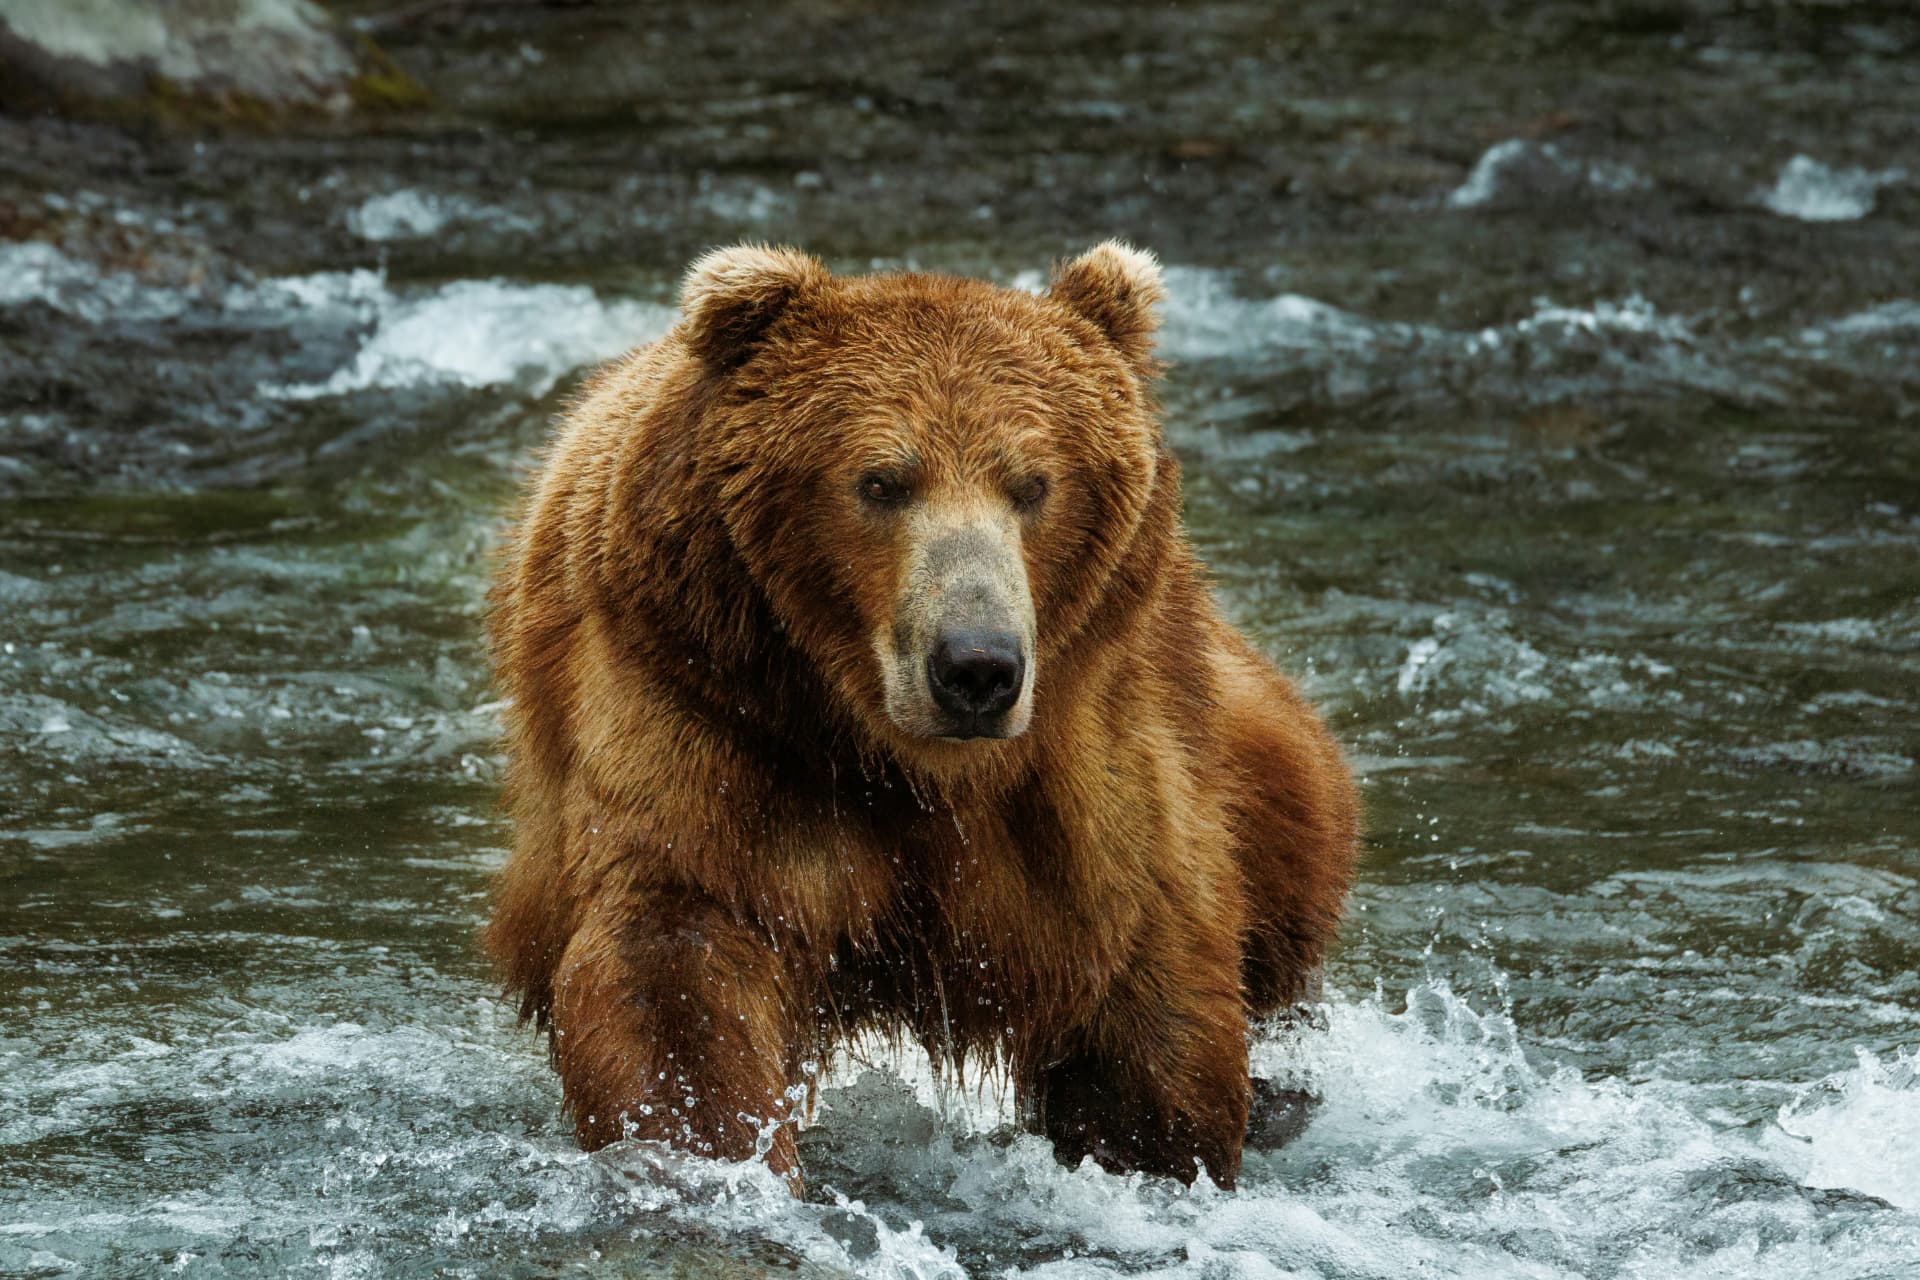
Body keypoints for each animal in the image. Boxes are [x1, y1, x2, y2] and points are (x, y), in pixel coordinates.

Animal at [483, 241, 1359, 1192]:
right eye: (882, 481)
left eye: (1034, 483)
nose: (977, 667)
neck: (893, 753)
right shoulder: (705, 709)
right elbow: (679, 959)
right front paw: (708, 1154)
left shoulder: (1089, 761)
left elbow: (1145, 979)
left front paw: (1155, 1148)